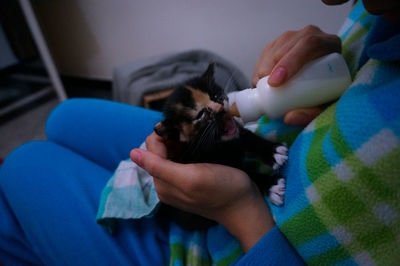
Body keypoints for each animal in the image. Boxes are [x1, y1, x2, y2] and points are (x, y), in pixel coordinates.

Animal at [153, 63, 288, 230]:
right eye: (200, 115)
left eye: (215, 96)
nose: (221, 109)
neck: (218, 145)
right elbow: (247, 175)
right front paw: (272, 185)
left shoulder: (236, 132)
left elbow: (247, 136)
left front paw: (273, 151)